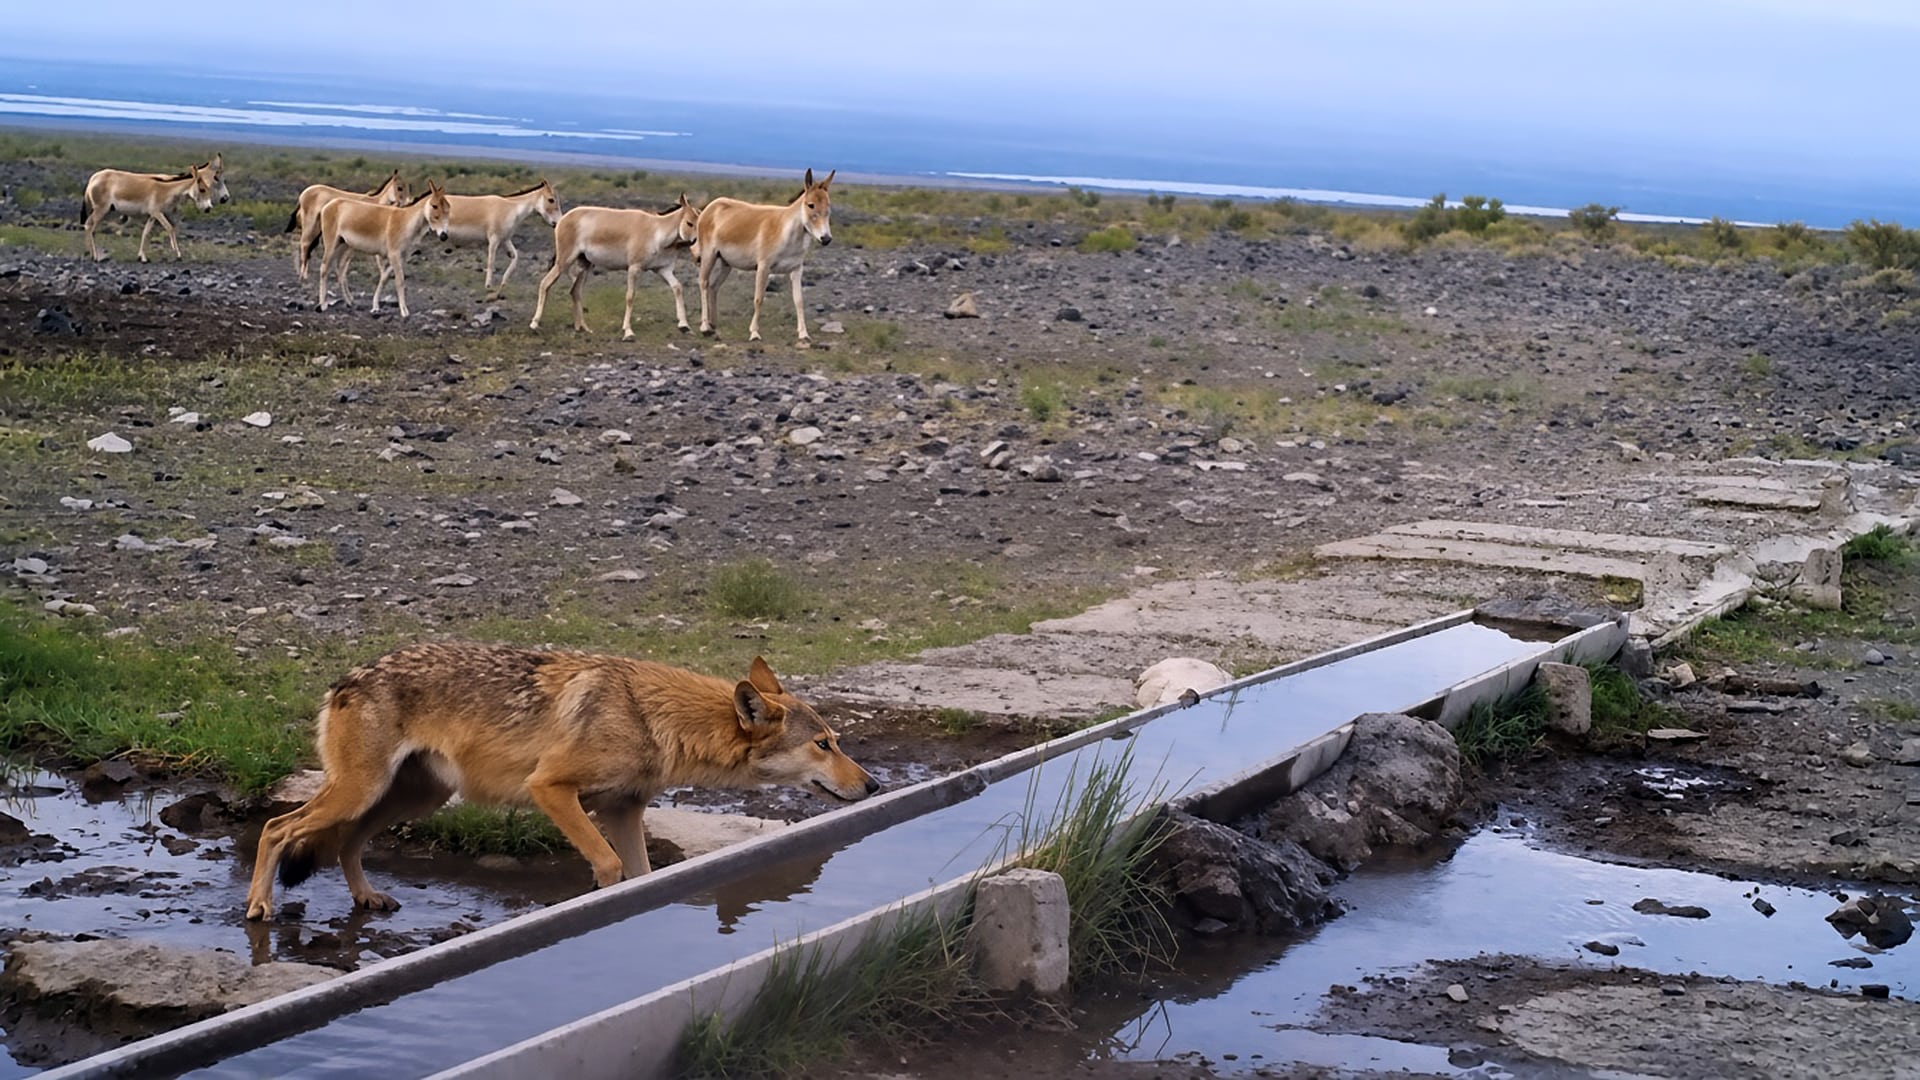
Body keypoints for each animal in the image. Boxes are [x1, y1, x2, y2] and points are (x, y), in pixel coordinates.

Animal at [244, 643, 877, 921]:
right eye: (824, 745)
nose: (872, 786)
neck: (651, 718)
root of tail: (344, 678)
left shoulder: (624, 811)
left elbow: (642, 874)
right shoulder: (551, 790)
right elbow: (608, 866)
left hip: (412, 798)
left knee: (346, 843)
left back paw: (366, 897)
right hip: (365, 792)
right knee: (278, 827)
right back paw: (259, 907)